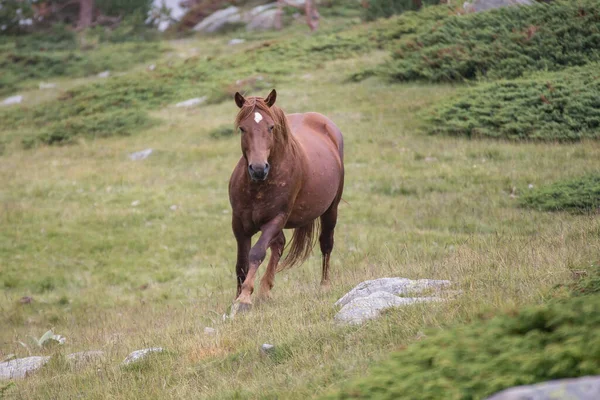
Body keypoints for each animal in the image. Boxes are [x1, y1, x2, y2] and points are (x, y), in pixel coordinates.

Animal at [229, 90, 344, 316]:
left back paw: (324, 285)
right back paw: (265, 291)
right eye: (242, 128)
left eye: (271, 127)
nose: (258, 169)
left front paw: (244, 298)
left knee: (326, 243)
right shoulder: (239, 224)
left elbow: (256, 253)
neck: (258, 187)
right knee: (279, 244)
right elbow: (241, 263)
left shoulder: (276, 219)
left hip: (330, 210)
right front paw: (236, 299)